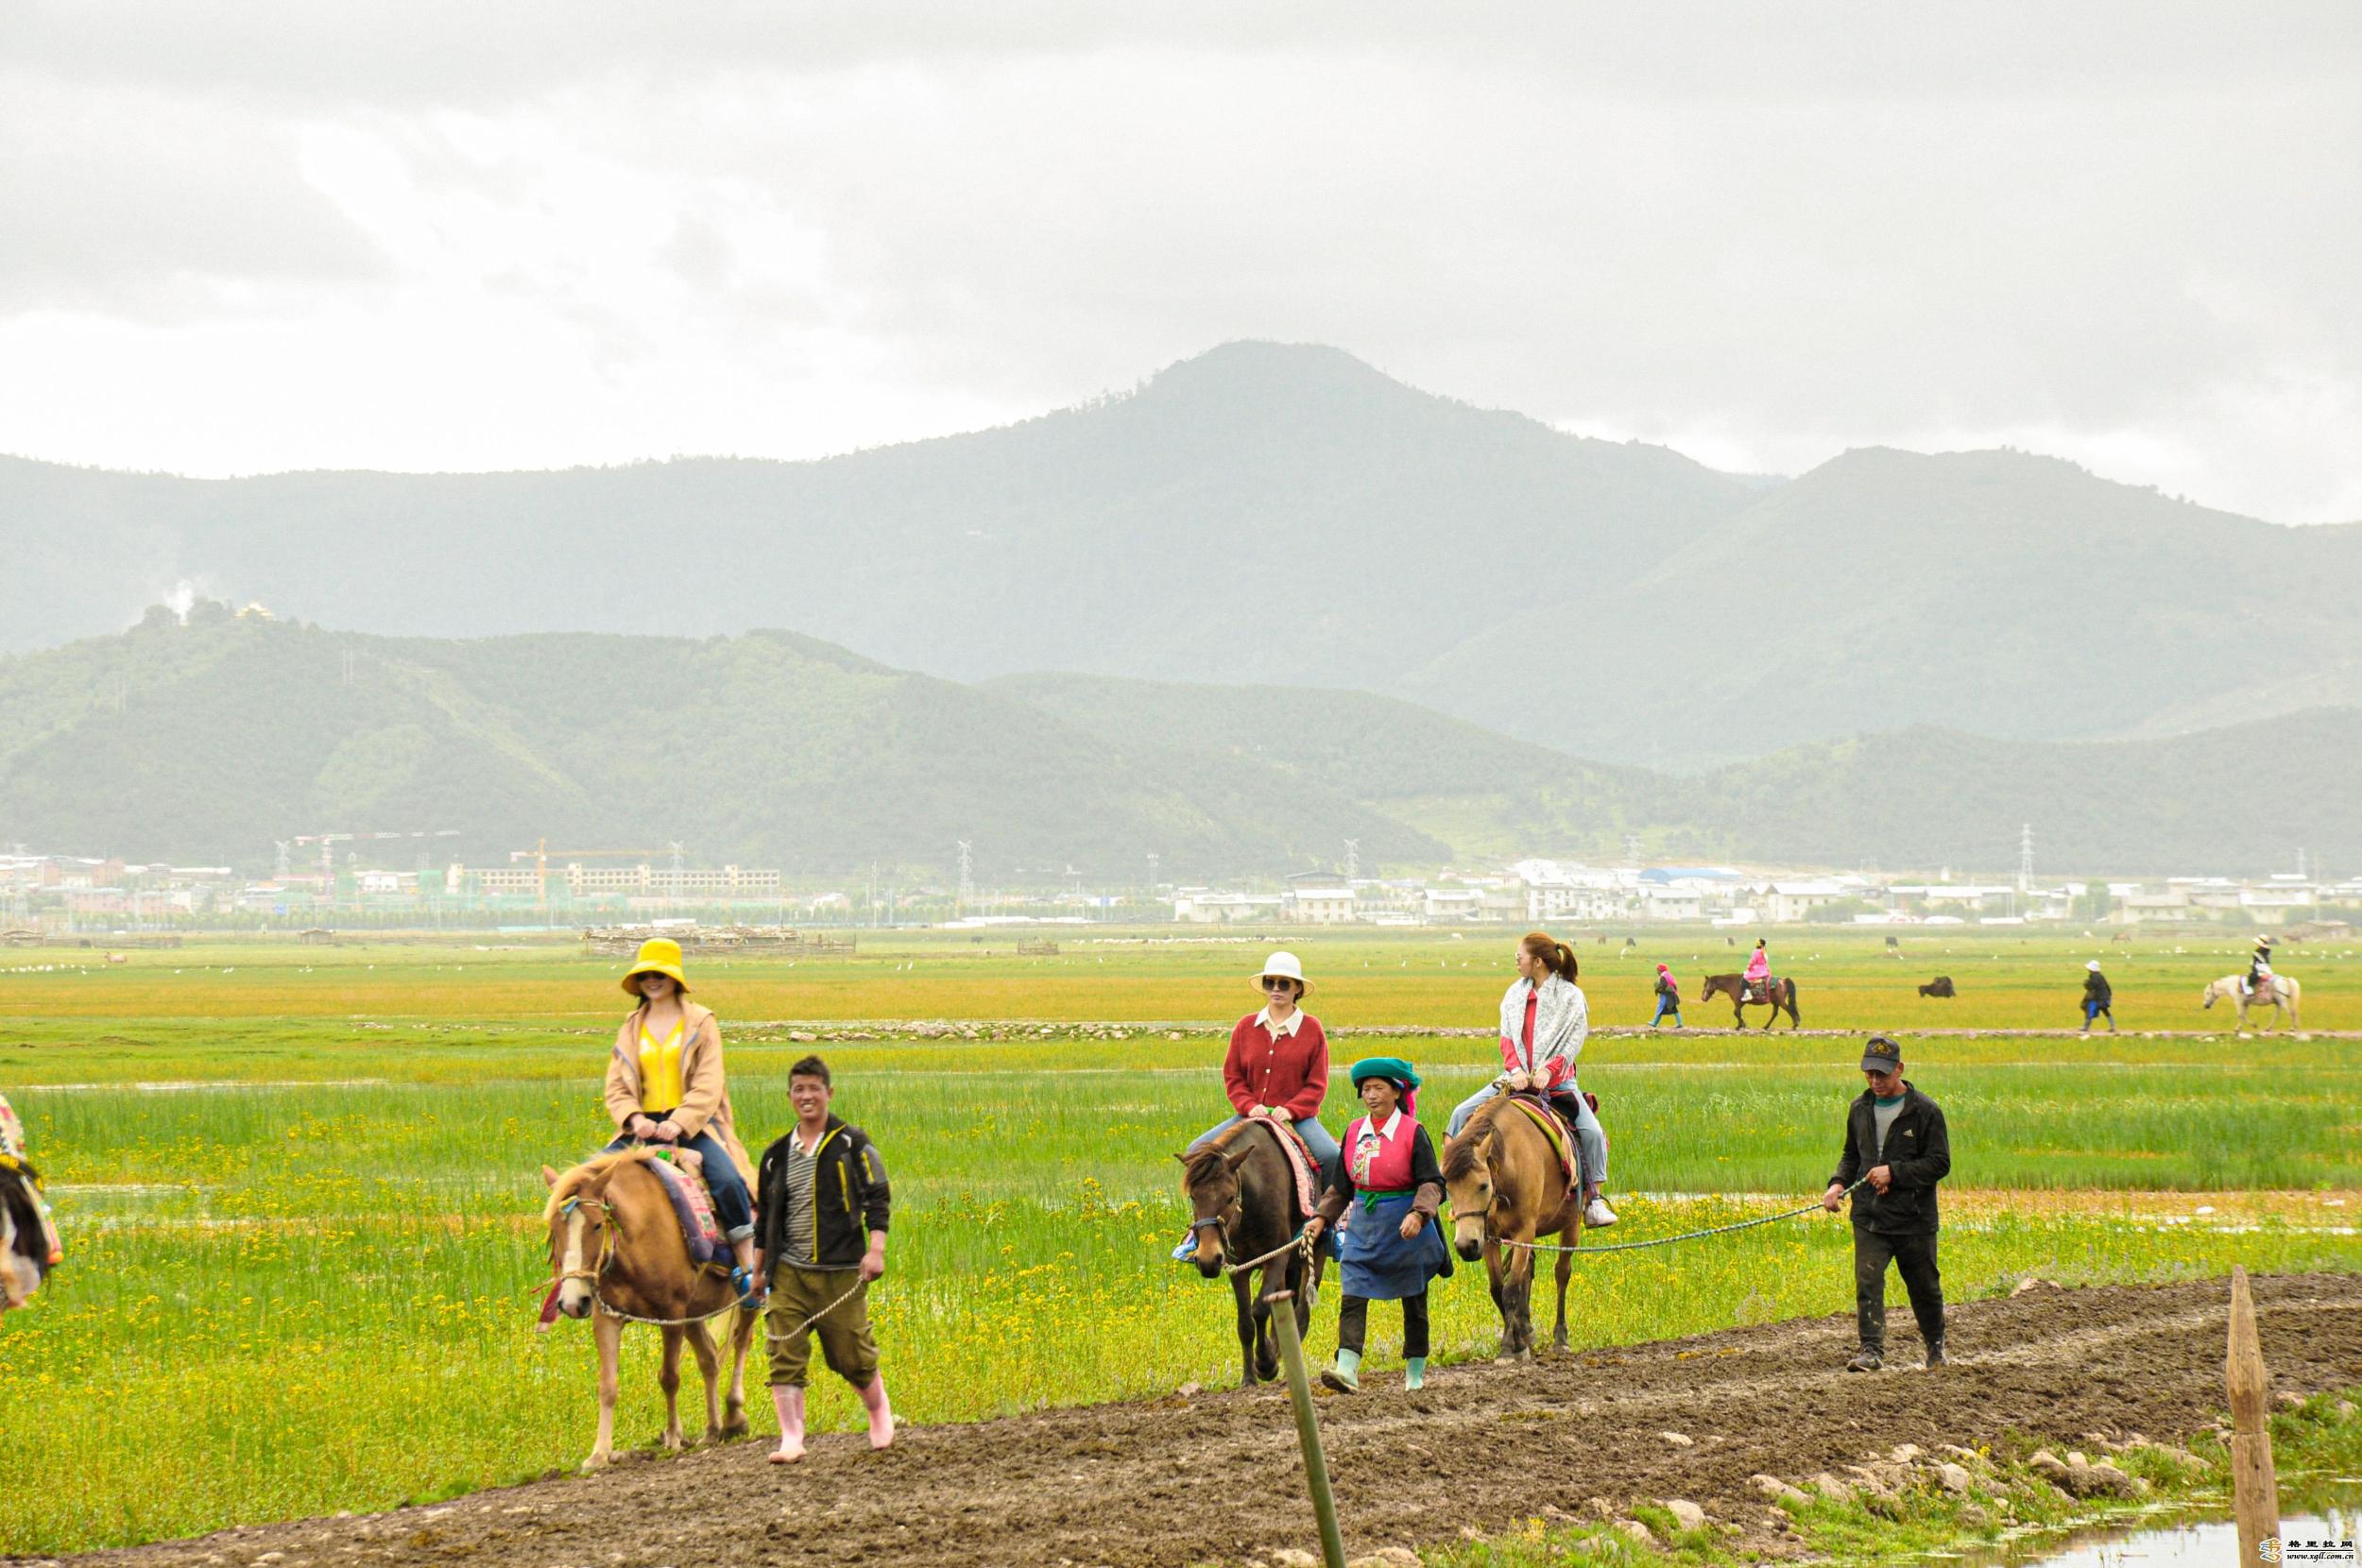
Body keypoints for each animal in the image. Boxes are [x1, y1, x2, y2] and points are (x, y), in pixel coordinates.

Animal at [540, 1152, 756, 1474]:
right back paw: (712, 1430)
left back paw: (734, 1416)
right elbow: (607, 1386)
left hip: (749, 1295)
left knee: (742, 1341)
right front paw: (599, 1453)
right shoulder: (607, 1318)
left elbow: (670, 1377)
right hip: (694, 1314)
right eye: (554, 1229)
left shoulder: (673, 1313)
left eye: (597, 1225)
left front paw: (673, 1437)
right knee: (709, 1359)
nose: (572, 1302)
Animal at [1181, 1115, 1332, 1389]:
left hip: (1315, 1252)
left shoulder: (1277, 1257)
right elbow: (1245, 1323)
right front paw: (1249, 1378)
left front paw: (1266, 1364)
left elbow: (1260, 1309)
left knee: (1301, 1313)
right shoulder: (1236, 1266)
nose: (1207, 1260)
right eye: (1194, 1198)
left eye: (1230, 1197)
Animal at [1436, 1091, 1587, 1360]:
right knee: (1529, 1272)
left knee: (1562, 1273)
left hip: (1571, 1225)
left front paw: (1509, 1348)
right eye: (1448, 1188)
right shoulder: (1487, 1237)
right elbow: (1499, 1288)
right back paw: (1527, 1330)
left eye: (1483, 1185)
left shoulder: (1523, 1232)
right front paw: (1519, 1341)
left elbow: (1512, 1289)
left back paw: (1560, 1338)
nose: (1465, 1246)